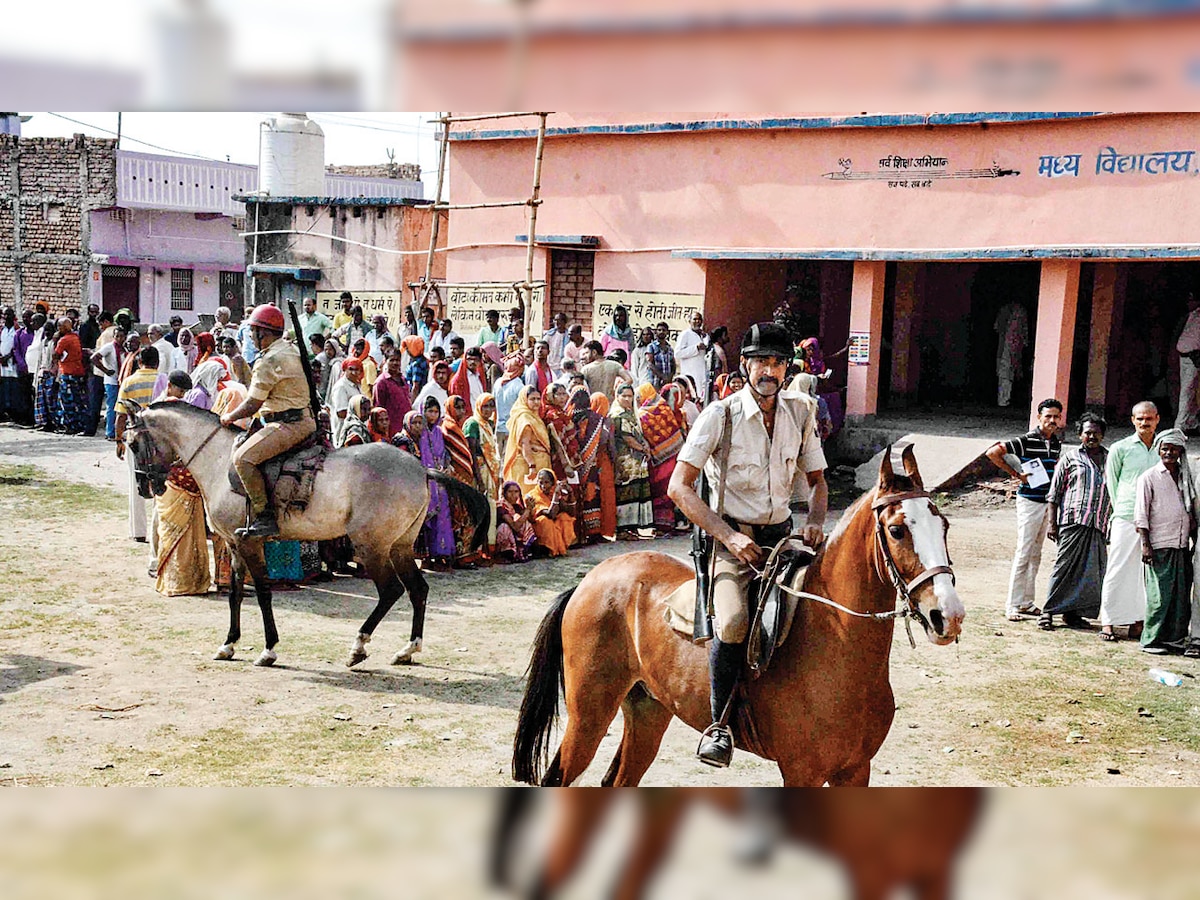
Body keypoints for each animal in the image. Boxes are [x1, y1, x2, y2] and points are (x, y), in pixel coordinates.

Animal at [125, 400, 487, 672]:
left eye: (133, 443)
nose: (145, 485)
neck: (219, 458)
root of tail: (420, 469)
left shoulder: (249, 542)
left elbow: (263, 593)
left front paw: (268, 649)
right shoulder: (234, 544)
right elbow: (235, 595)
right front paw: (229, 644)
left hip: (372, 546)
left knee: (391, 591)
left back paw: (358, 646)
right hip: (400, 546)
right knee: (417, 589)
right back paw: (408, 649)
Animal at [513, 448, 964, 787]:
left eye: (942, 524)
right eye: (897, 530)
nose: (949, 615)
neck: (837, 644)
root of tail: (590, 580)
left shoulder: (855, 770)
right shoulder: (802, 772)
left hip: (648, 711)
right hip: (589, 715)